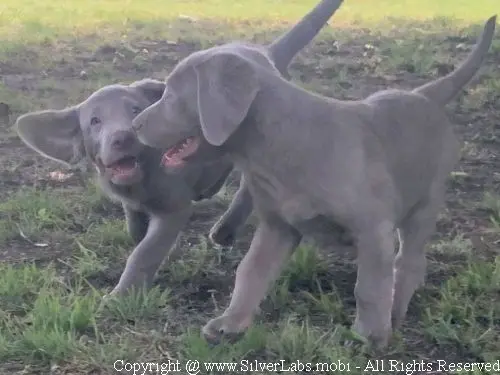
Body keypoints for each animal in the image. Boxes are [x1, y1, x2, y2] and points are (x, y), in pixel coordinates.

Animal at [13, 0, 346, 298]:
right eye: (95, 121)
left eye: (134, 110)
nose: (122, 137)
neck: (143, 180)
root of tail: (266, 54)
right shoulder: (131, 203)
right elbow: (136, 232)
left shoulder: (174, 208)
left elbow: (145, 251)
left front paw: (120, 296)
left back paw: (224, 229)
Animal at [131, 15, 498, 350]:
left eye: (170, 94)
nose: (135, 125)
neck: (279, 149)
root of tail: (425, 95)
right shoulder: (277, 227)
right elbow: (250, 272)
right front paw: (230, 323)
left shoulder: (372, 228)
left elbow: (369, 287)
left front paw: (370, 336)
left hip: (425, 204)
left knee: (408, 262)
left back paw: (395, 311)